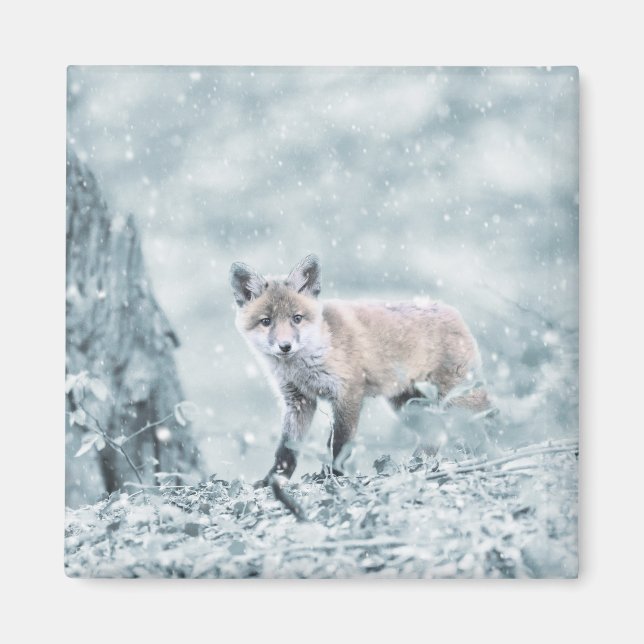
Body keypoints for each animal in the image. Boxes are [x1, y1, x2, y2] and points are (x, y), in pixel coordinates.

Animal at [229, 254, 491, 487]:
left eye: (296, 318)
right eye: (266, 321)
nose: (285, 346)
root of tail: (453, 312)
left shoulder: (348, 392)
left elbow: (339, 443)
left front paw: (331, 476)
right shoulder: (298, 401)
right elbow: (286, 450)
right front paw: (272, 480)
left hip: (455, 400)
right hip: (409, 406)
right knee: (434, 436)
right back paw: (416, 465)